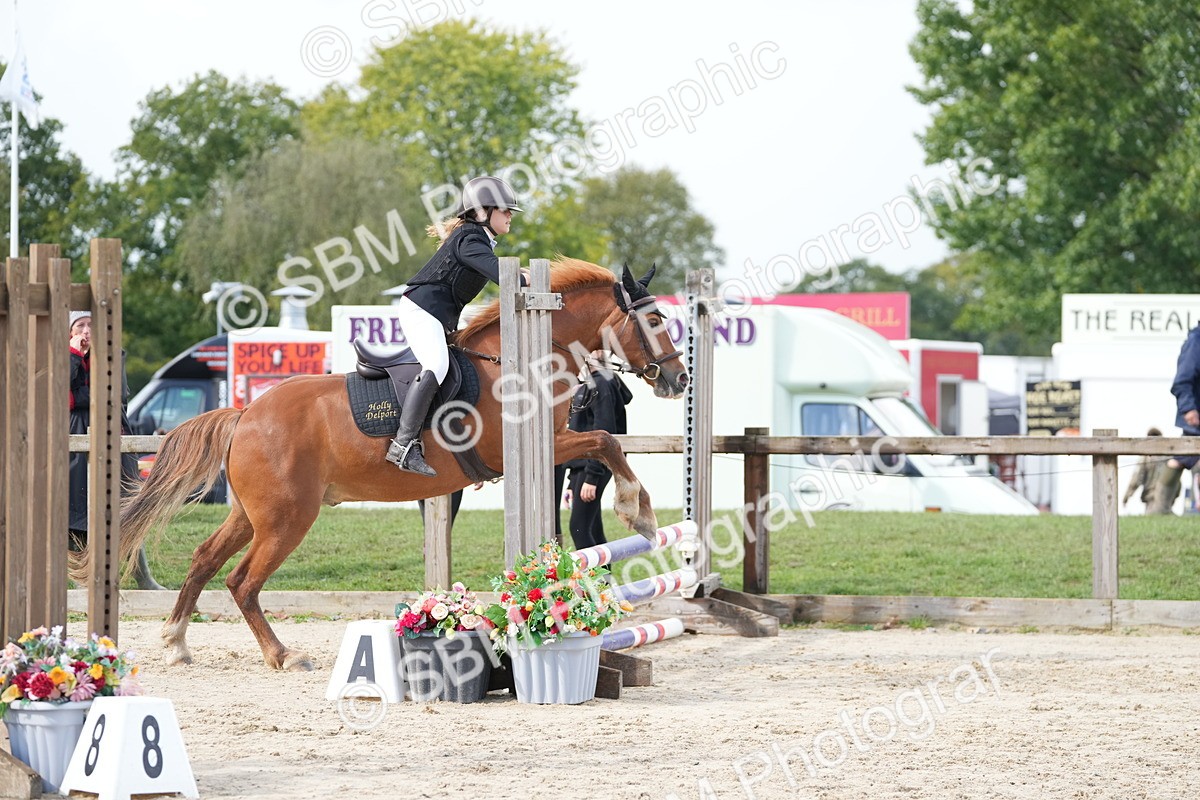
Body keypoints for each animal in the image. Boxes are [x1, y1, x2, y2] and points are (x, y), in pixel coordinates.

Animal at [73, 259, 688, 671]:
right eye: (656, 320)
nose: (678, 378)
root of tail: (245, 414)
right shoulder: (531, 448)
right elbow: (605, 440)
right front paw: (639, 513)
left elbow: (604, 442)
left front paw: (639, 512)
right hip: (286, 519)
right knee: (242, 582)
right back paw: (283, 655)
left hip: (251, 514)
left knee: (204, 560)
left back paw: (177, 643)